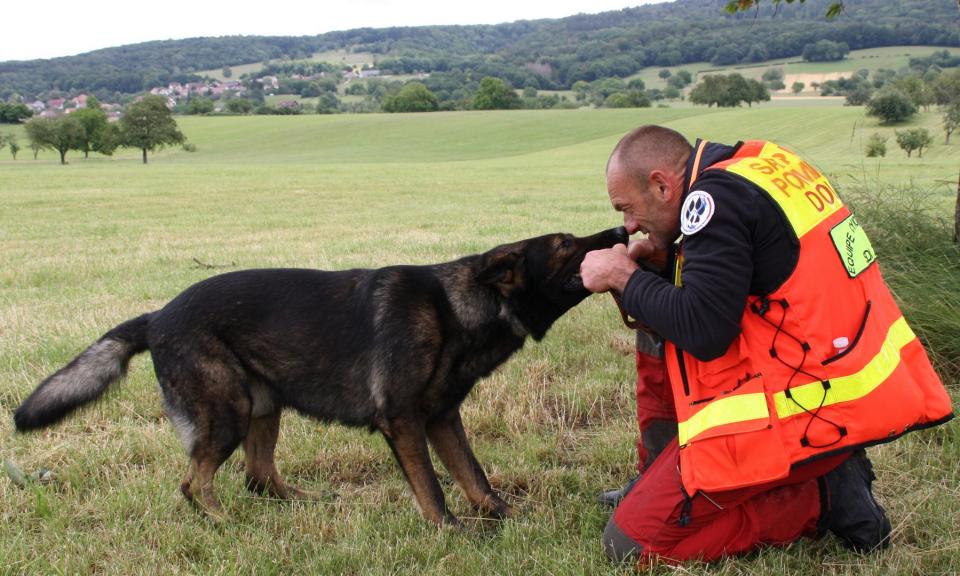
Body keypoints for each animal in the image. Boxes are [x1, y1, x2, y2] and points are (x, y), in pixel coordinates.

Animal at [14, 226, 628, 525]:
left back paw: (303, 503)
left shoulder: (443, 419)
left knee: (259, 477)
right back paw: (223, 525)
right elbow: (432, 486)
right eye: (566, 244)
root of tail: (157, 315)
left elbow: (475, 476)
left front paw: (505, 517)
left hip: (265, 406)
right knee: (195, 482)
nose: (619, 229)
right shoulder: (404, 422)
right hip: (229, 412)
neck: (458, 308)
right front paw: (449, 530)